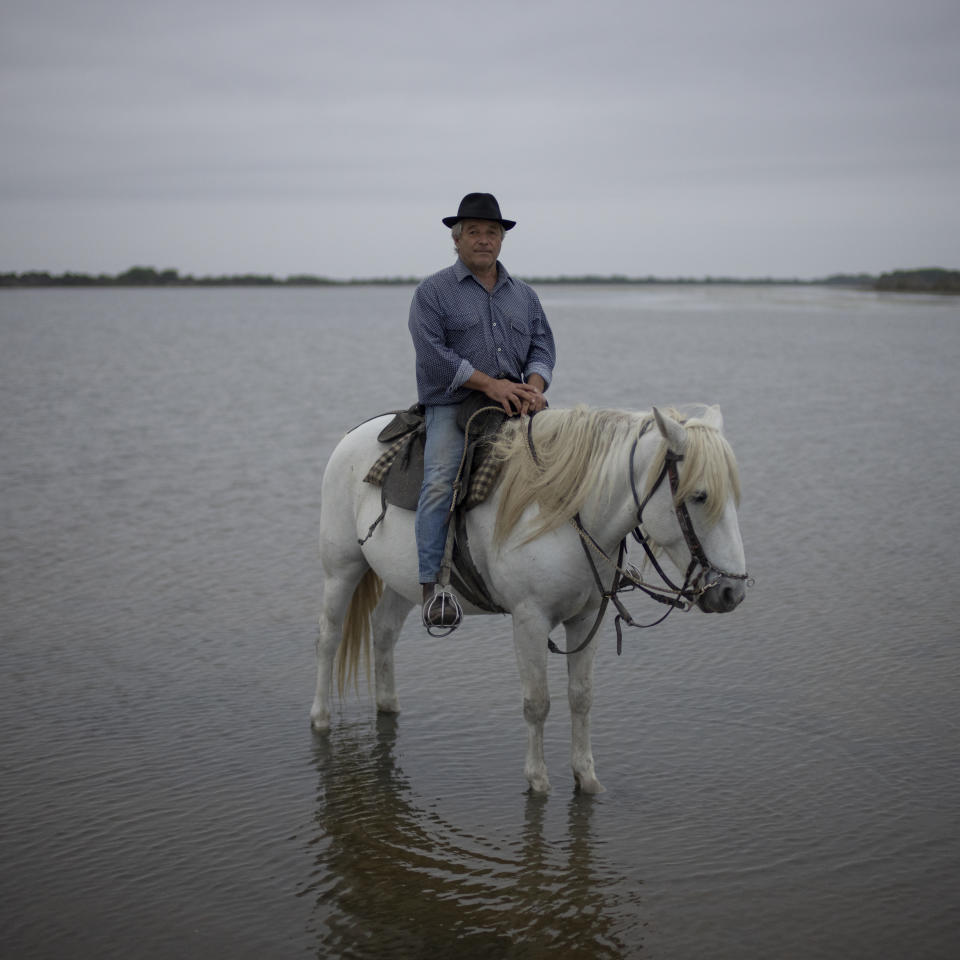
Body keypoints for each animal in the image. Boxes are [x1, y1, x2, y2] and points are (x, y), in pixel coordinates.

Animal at [312, 402, 748, 792]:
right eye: (699, 496)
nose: (733, 591)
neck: (566, 514)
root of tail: (357, 433)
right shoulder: (529, 620)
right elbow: (537, 702)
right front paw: (538, 780)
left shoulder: (588, 618)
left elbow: (581, 697)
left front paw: (587, 778)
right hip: (341, 568)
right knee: (329, 638)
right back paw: (320, 718)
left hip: (404, 579)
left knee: (384, 629)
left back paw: (388, 704)